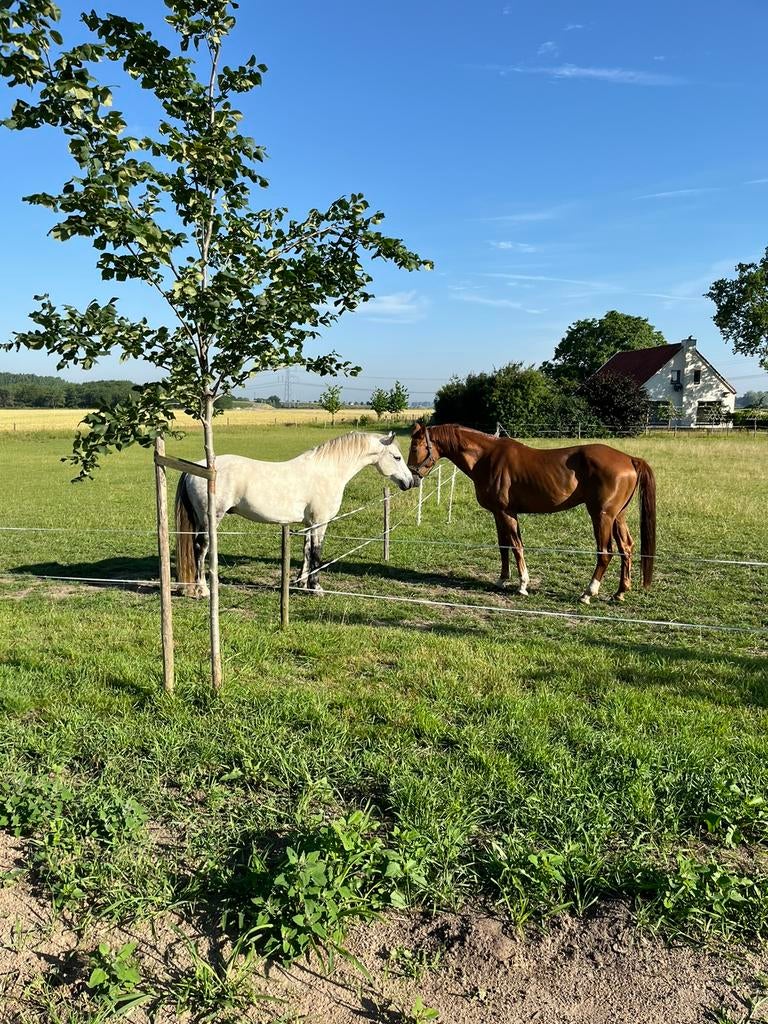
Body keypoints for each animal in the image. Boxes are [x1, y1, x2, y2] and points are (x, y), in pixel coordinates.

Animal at [175, 431, 415, 597]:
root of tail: (197, 468)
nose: (411, 481)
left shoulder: (309, 523)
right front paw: (316, 588)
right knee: (200, 548)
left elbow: (307, 550)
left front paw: (301, 582)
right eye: (397, 457)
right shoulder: (320, 522)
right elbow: (317, 552)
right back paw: (203, 590)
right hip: (210, 518)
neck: (328, 471)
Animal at [407, 423, 656, 604]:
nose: (410, 479)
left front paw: (523, 585)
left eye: (414, 447)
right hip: (617, 517)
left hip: (601, 516)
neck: (486, 458)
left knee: (605, 553)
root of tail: (630, 459)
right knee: (626, 548)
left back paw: (588, 593)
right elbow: (504, 546)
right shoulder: (498, 514)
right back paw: (620, 592)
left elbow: (516, 547)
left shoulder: (507, 513)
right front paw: (502, 580)